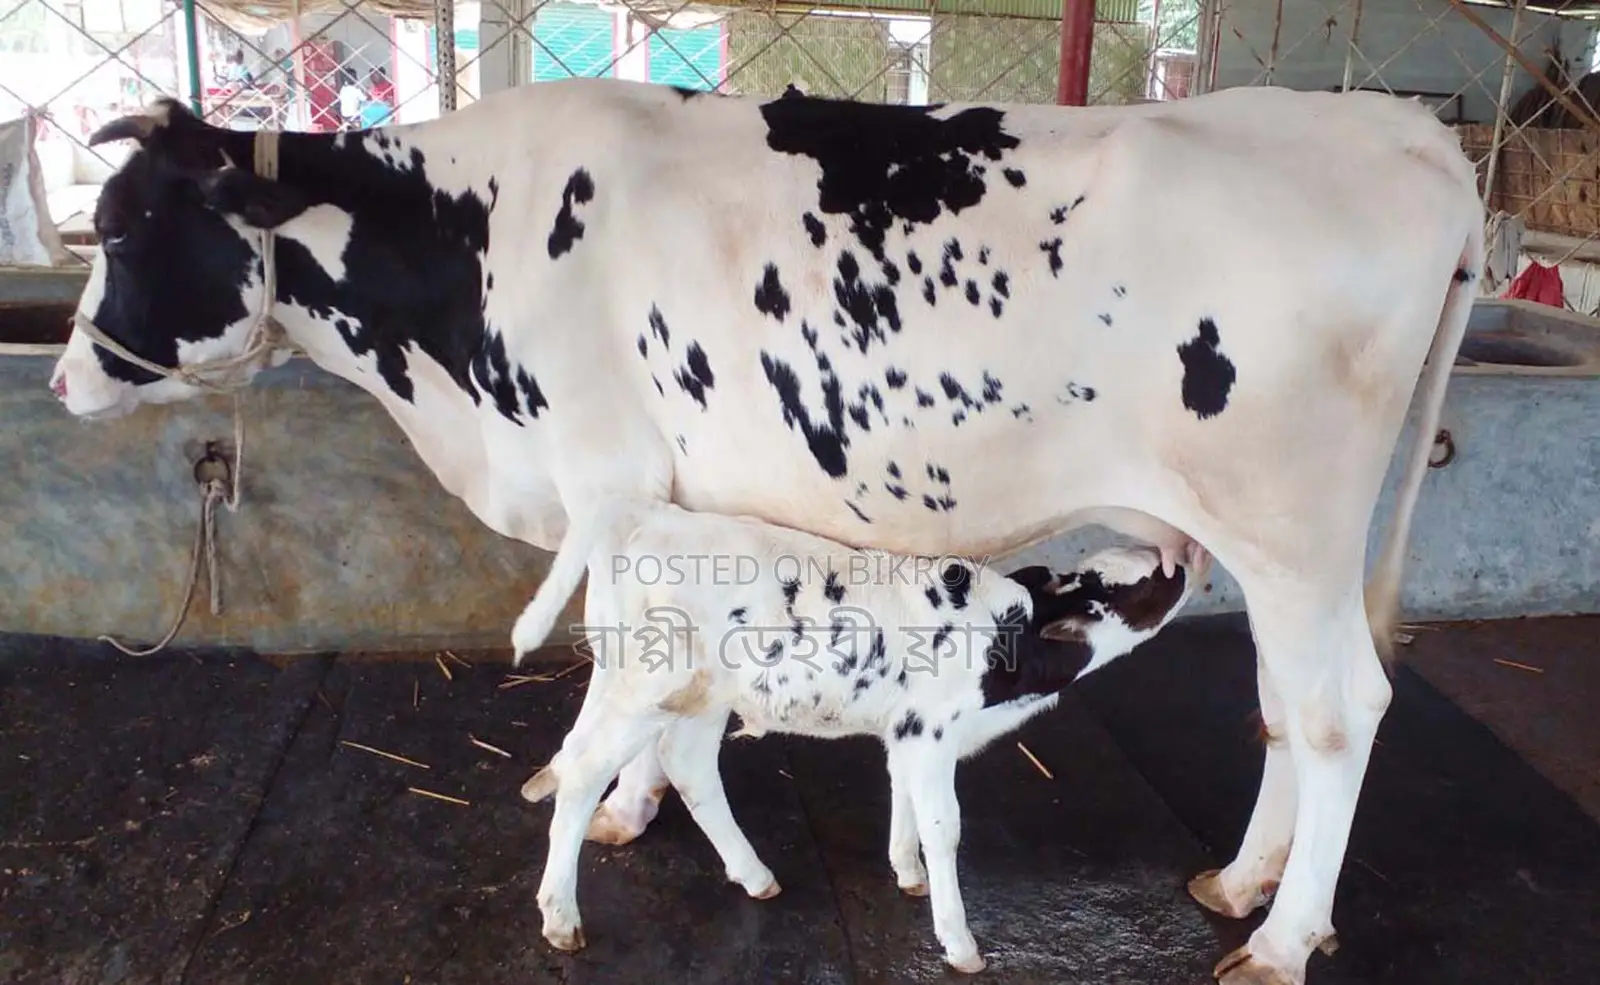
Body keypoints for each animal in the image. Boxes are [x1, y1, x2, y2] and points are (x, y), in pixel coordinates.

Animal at [512, 498, 1207, 972]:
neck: (1009, 643)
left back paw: (754, 874)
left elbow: (904, 800)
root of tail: (653, 515)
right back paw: (561, 917)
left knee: (682, 765)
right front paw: (960, 942)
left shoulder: (907, 735)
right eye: (1126, 586)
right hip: (649, 687)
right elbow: (945, 828)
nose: (1181, 559)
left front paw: (906, 870)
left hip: (693, 695)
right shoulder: (931, 734)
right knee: (585, 774)